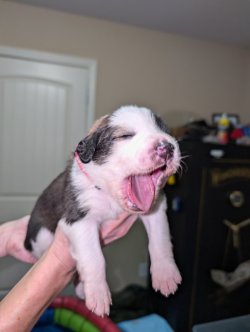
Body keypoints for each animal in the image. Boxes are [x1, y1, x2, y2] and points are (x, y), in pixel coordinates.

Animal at [24, 105, 182, 316]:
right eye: (126, 135)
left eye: (165, 131)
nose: (167, 146)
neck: (109, 194)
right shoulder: (80, 220)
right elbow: (94, 258)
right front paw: (98, 294)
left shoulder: (155, 208)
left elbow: (160, 239)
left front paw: (165, 275)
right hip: (41, 236)